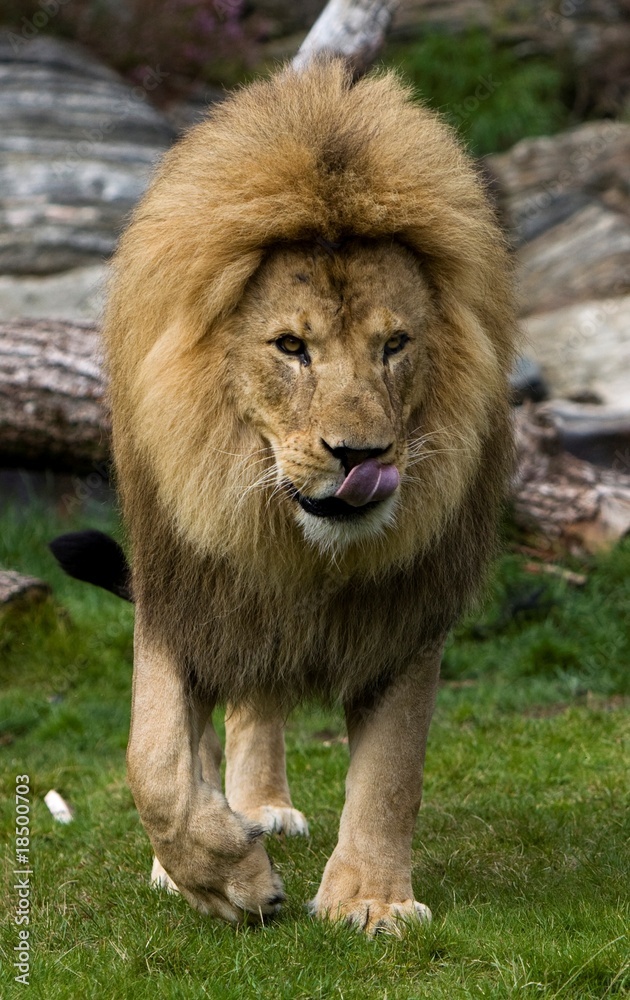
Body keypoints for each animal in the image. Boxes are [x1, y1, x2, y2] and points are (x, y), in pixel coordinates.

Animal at [98, 59, 514, 934]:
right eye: (291, 347)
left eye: (395, 345)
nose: (361, 456)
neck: (303, 548)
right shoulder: (184, 590)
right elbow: (154, 763)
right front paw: (227, 879)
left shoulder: (406, 612)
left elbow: (391, 771)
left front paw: (371, 900)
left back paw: (262, 808)